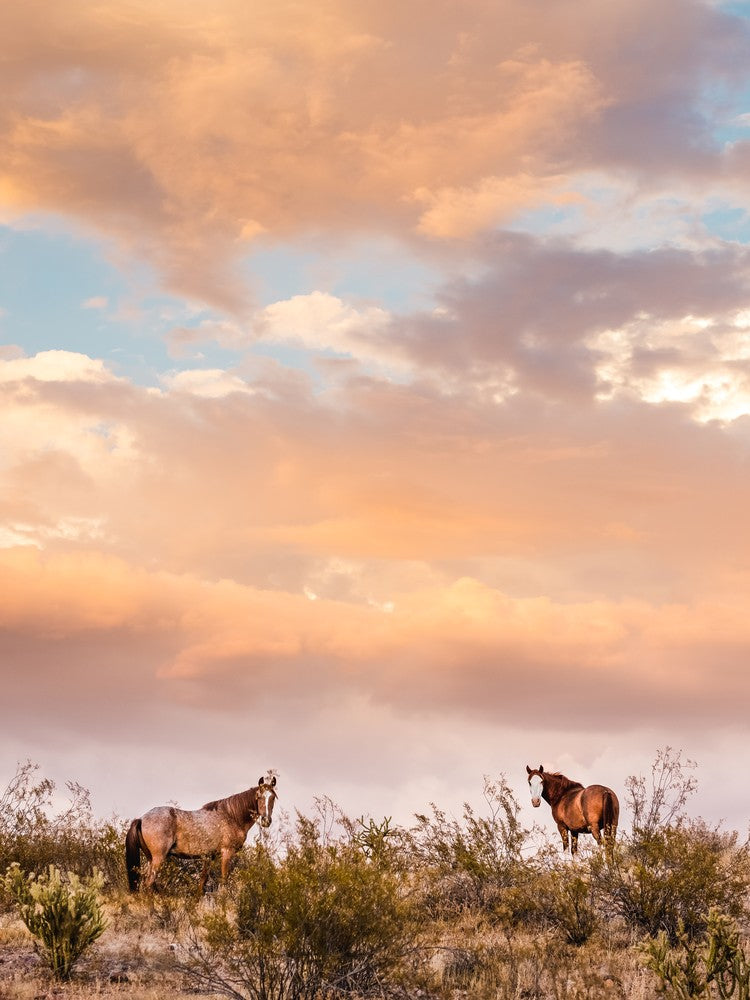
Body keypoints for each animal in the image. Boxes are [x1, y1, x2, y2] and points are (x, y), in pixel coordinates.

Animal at [125, 775, 277, 892]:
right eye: (259, 797)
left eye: (273, 797)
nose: (266, 821)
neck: (231, 816)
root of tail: (141, 819)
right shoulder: (226, 852)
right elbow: (224, 880)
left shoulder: (210, 856)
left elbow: (202, 882)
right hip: (158, 858)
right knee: (148, 884)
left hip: (151, 859)